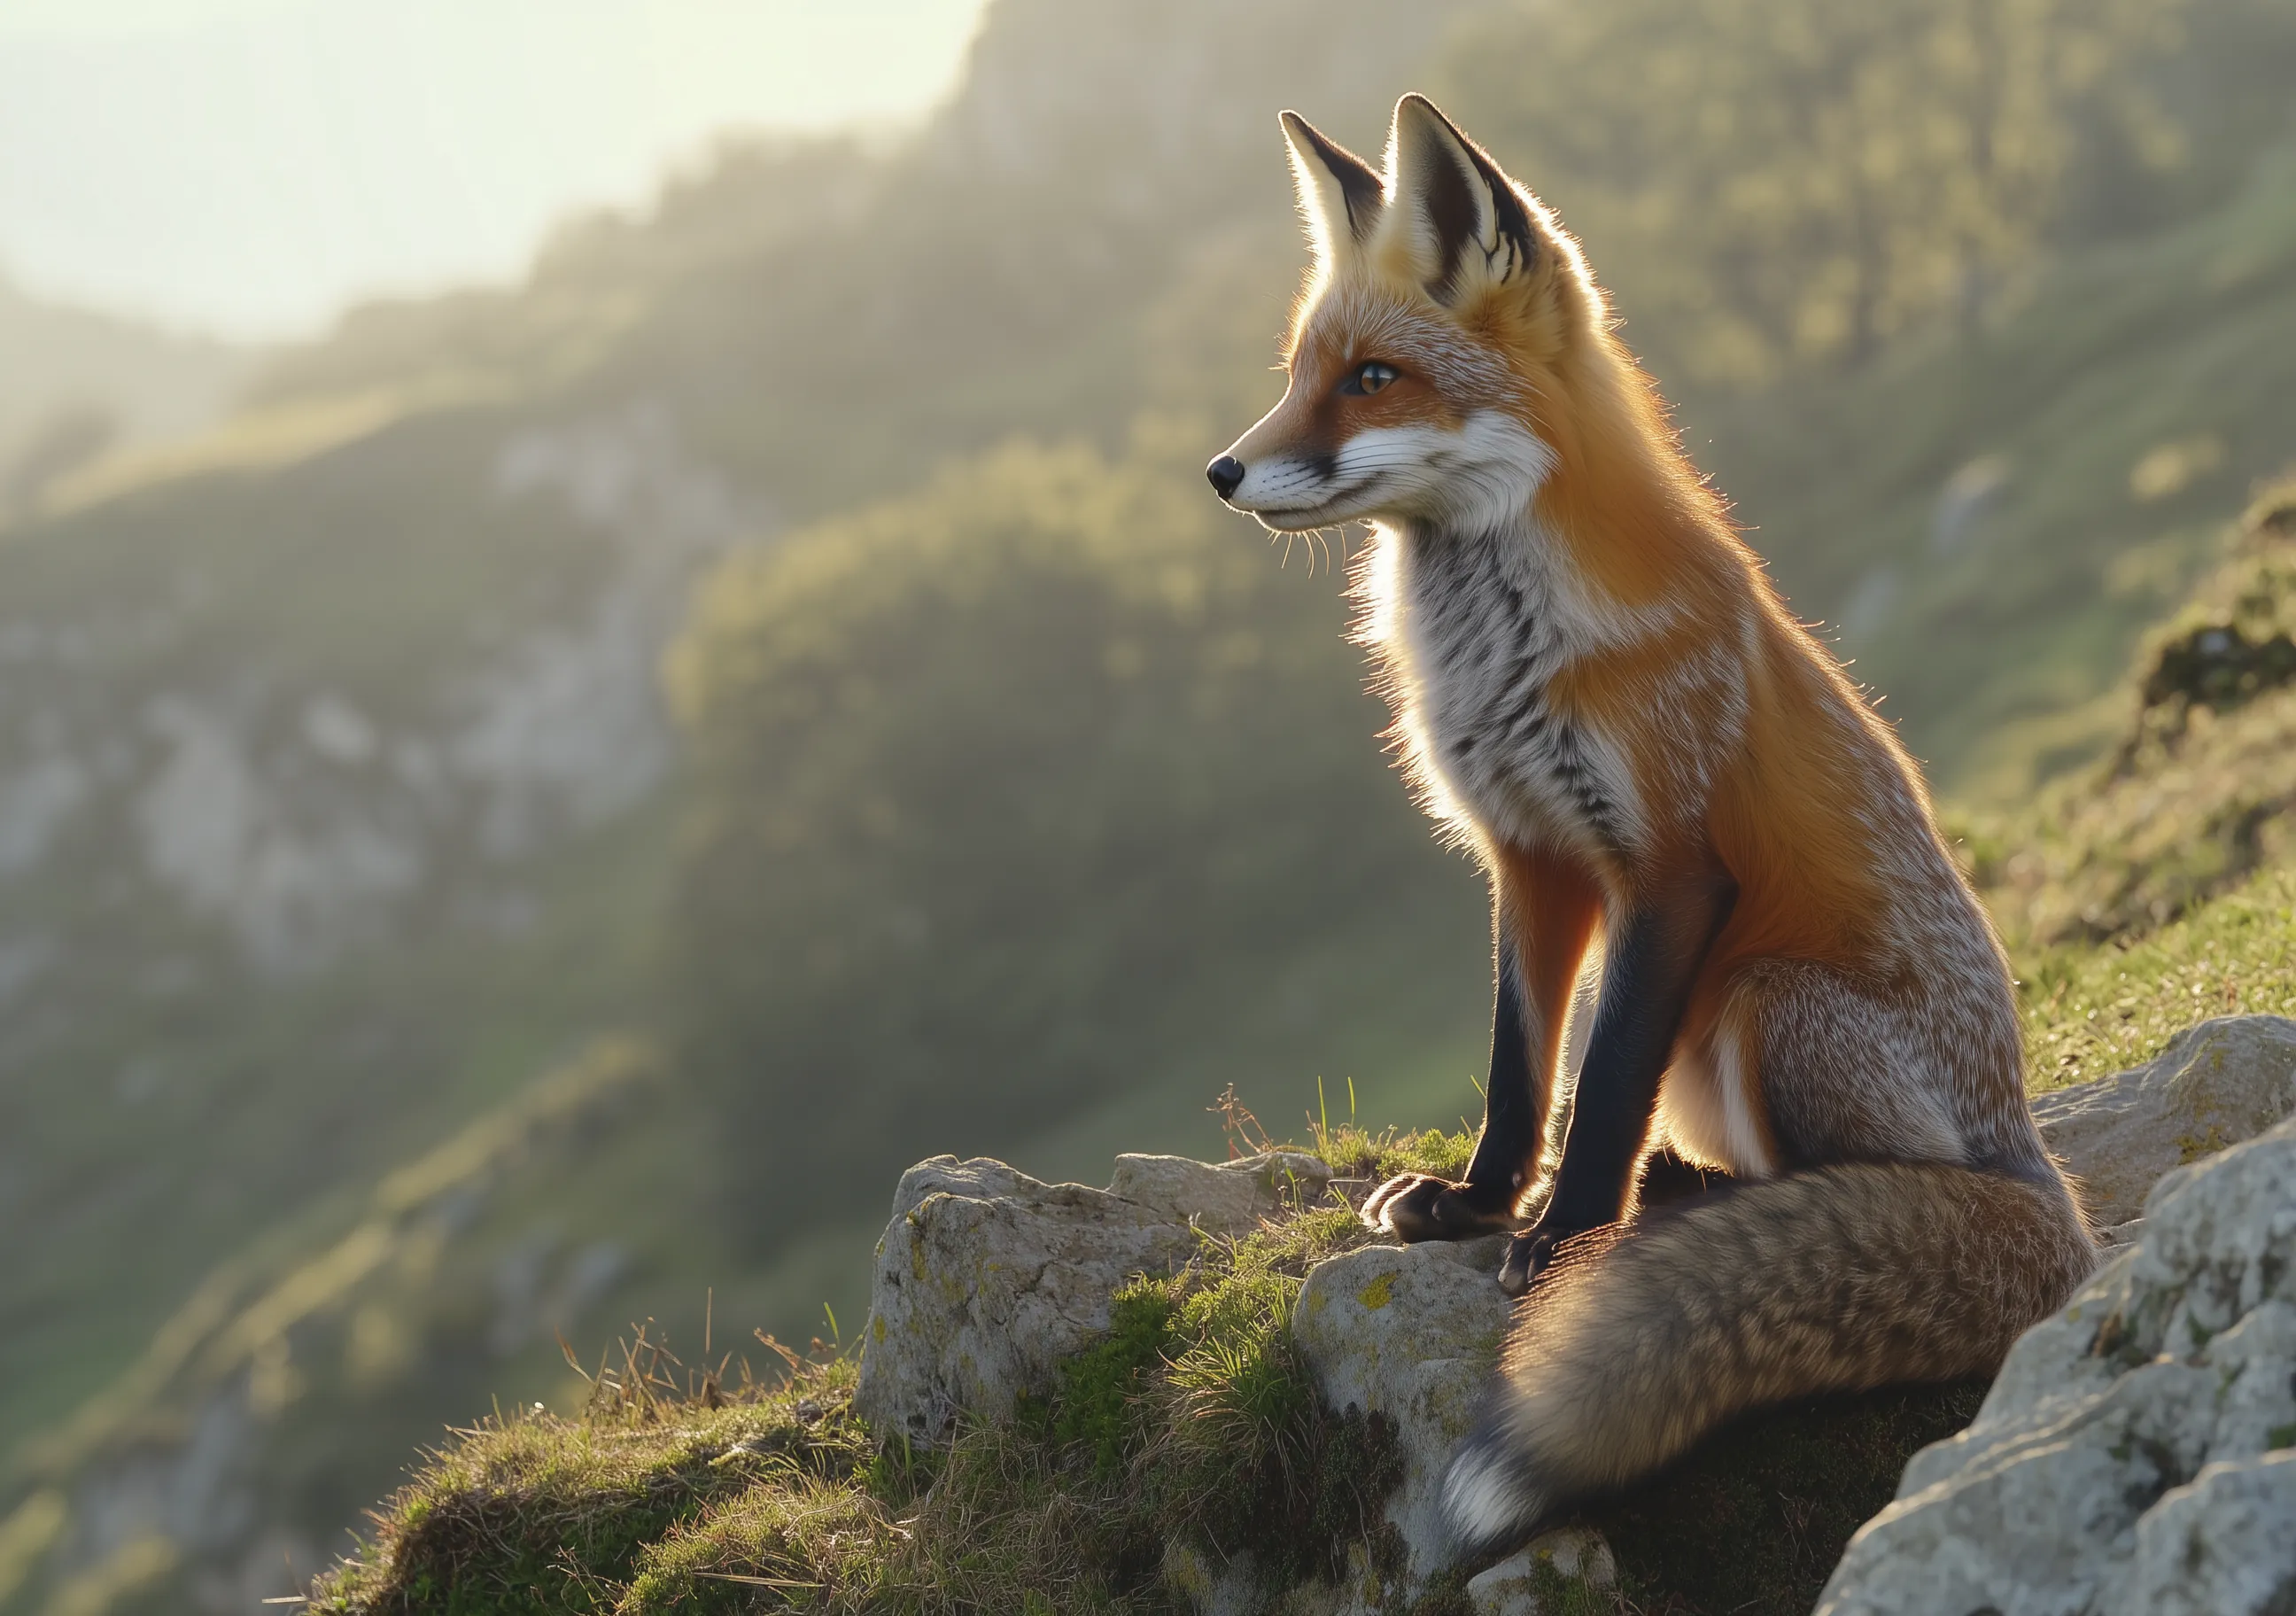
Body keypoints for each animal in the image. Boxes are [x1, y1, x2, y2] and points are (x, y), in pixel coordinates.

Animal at [1205, 95, 2096, 1555]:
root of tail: (2039, 1174)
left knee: (1866, 1184)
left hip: (1768, 997)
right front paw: (1476, 1203)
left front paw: (1564, 1241)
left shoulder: (1669, 868)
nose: (1221, 471)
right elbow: (1519, 1071)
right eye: (1299, 373)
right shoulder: (1529, 858)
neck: (1507, 654)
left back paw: (1702, 1204)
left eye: (1375, 379)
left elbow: (1604, 1081)